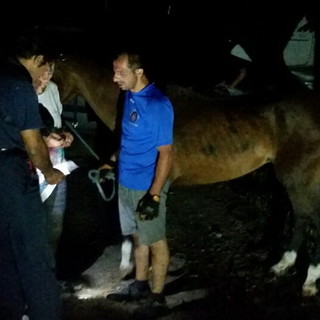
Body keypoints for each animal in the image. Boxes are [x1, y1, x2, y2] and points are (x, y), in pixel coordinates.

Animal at [55, 55, 320, 298]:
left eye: (52, 78)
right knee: (301, 218)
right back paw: (282, 265)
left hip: (300, 179)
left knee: (312, 221)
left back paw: (309, 281)